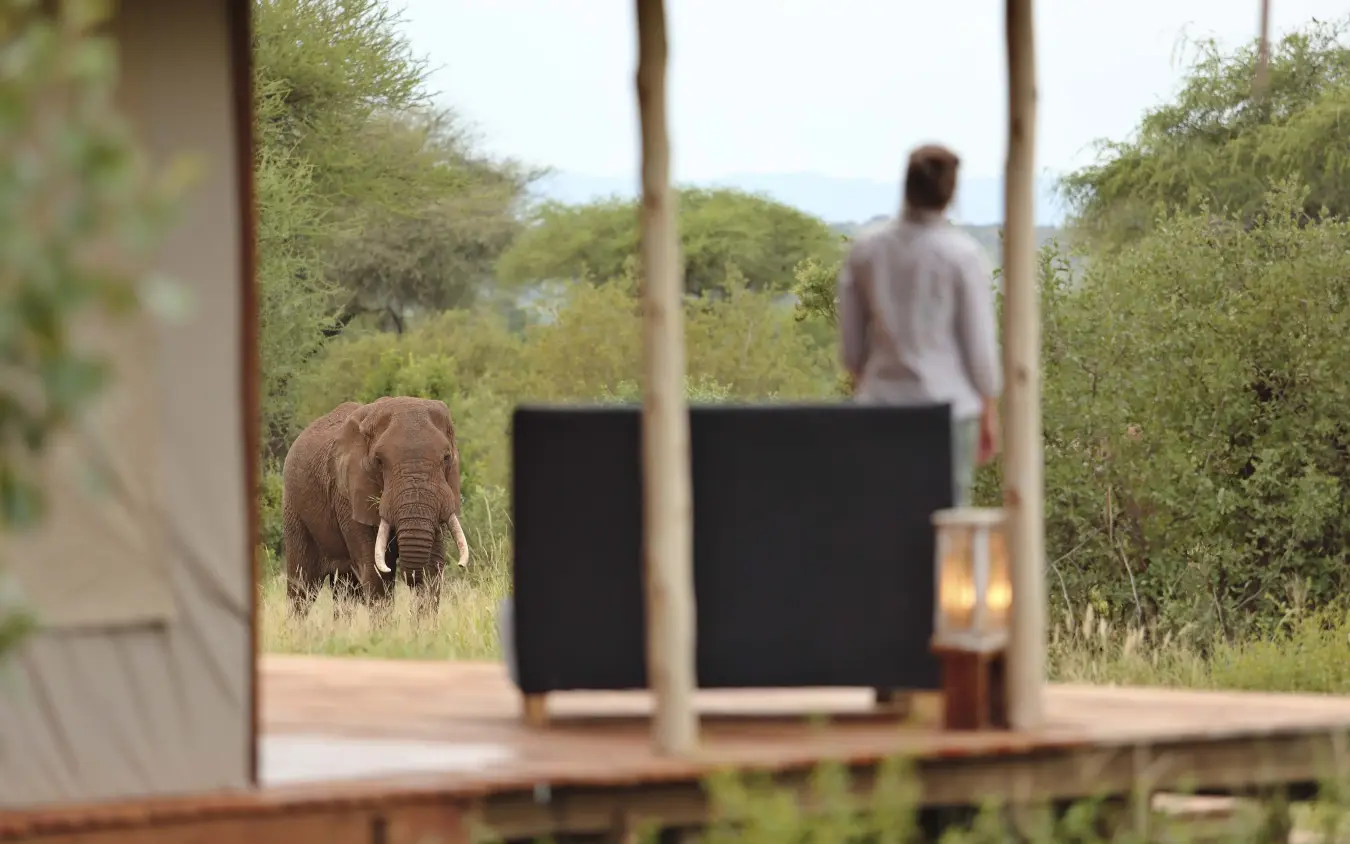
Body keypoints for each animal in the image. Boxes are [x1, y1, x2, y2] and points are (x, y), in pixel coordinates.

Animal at [281, 396, 469, 621]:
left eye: (447, 458)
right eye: (379, 461)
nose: (409, 578)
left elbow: (432, 569)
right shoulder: (348, 496)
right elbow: (375, 572)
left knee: (344, 590)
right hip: (294, 509)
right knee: (302, 586)